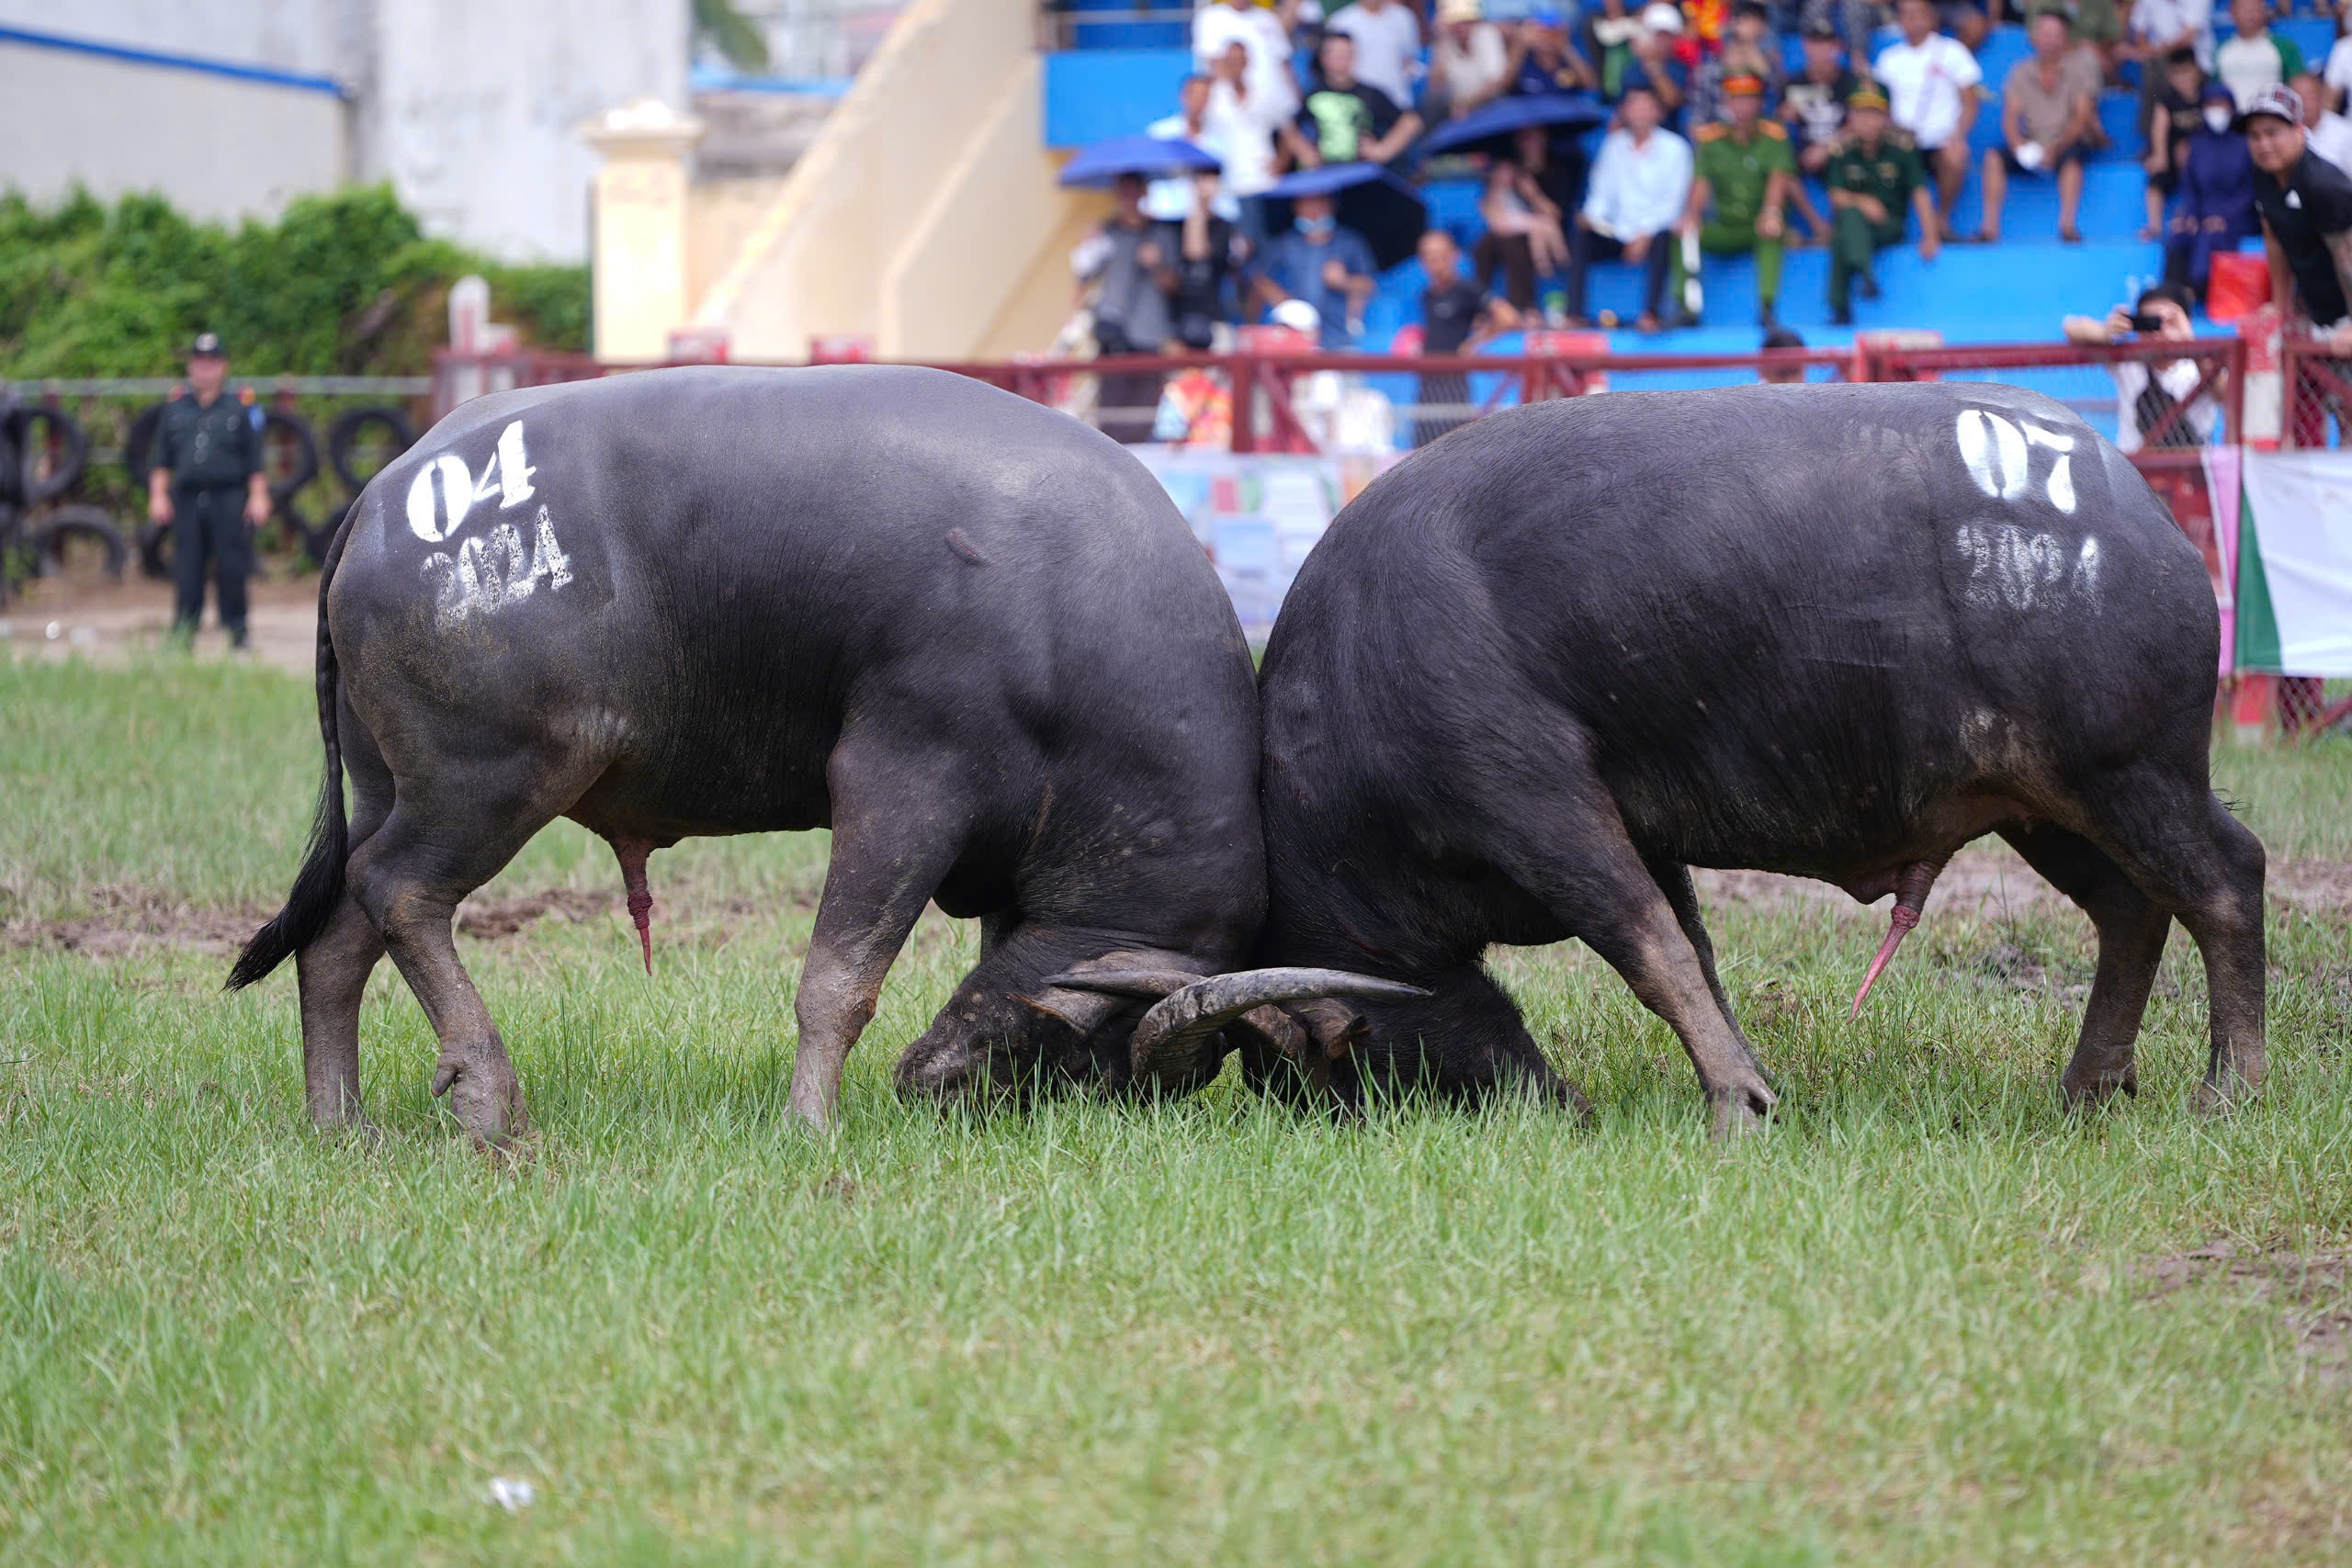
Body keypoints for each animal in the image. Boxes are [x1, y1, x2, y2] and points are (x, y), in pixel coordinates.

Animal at [1250, 385, 2257, 1133]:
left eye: (1324, 1059)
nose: (1316, 1112)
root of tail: (2137, 507)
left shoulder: (1536, 802)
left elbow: (1648, 948)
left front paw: (1734, 1104)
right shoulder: (1642, 838)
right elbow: (1696, 954)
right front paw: (1752, 1083)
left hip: (2130, 771)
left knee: (2224, 881)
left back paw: (2228, 1088)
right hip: (2042, 801)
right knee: (2130, 906)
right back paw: (2090, 1084)